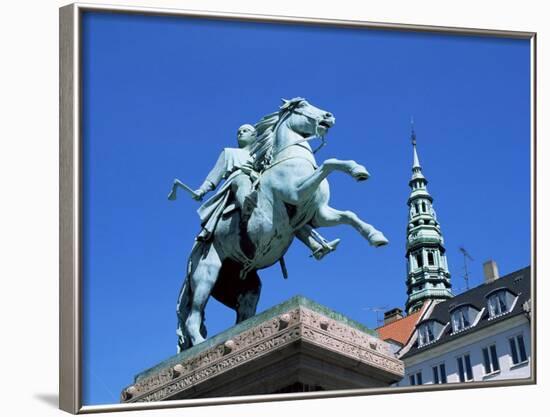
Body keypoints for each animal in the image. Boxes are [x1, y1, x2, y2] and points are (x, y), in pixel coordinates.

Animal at [176, 97, 388, 352]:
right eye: (301, 106)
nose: (329, 116)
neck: (291, 159)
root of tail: (191, 258)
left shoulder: (319, 214)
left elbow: (349, 215)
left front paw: (375, 235)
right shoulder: (297, 191)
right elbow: (329, 163)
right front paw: (357, 170)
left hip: (248, 288)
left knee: (242, 316)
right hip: (206, 275)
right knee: (193, 316)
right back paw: (201, 344)